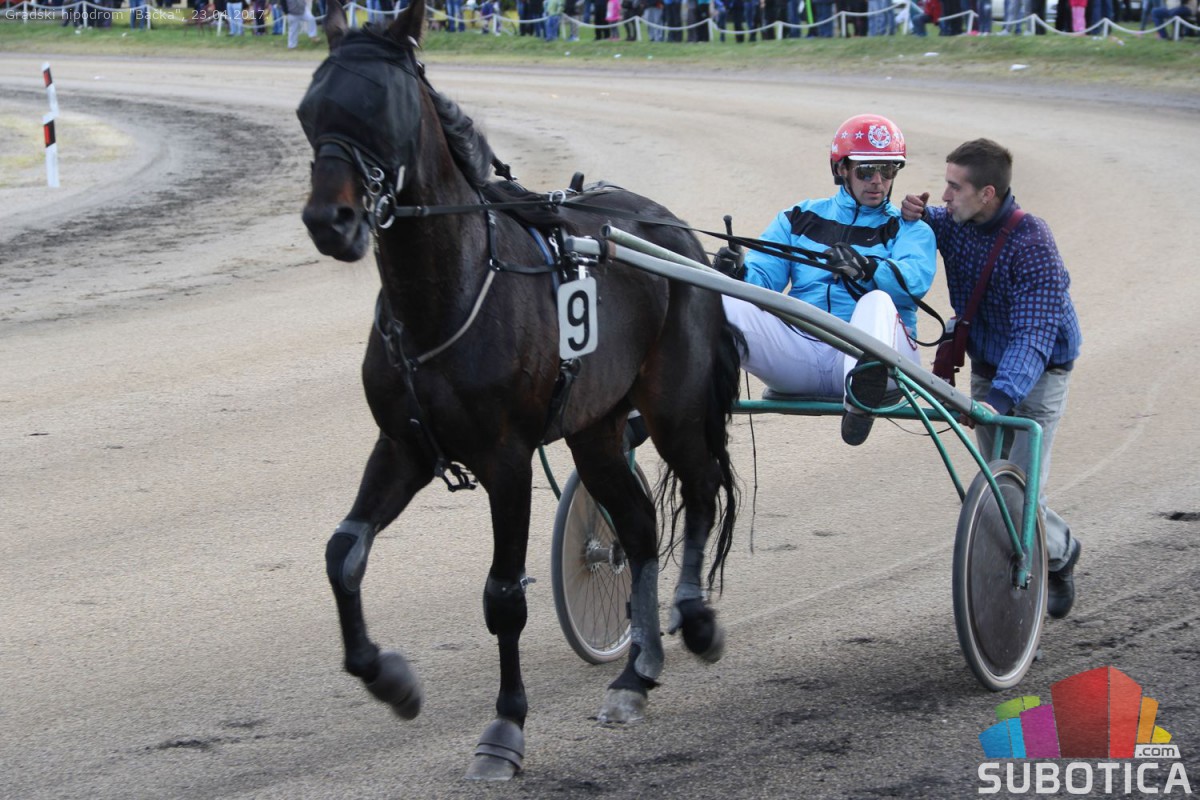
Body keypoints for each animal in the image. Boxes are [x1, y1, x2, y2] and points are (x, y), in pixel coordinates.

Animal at [298, 0, 743, 780]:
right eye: (308, 110)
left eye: (381, 107)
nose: (331, 221)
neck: (446, 293)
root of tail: (674, 233)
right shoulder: (403, 445)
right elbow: (342, 554)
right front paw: (391, 680)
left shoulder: (503, 457)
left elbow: (503, 595)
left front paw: (504, 729)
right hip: (597, 428)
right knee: (637, 526)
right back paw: (635, 675)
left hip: (675, 407)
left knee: (700, 491)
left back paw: (694, 622)